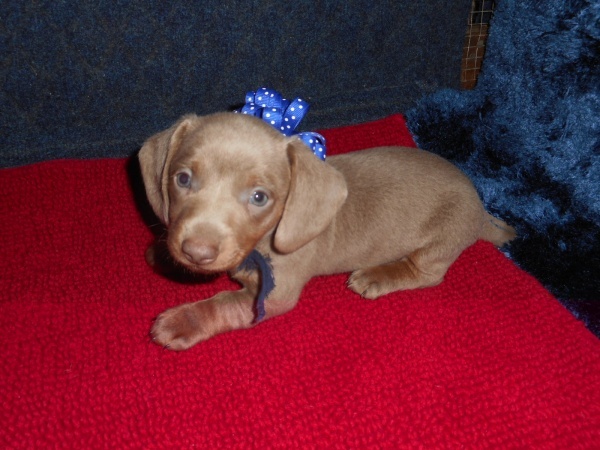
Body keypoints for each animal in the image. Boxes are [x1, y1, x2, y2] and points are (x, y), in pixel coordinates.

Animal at [138, 112, 512, 352]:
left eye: (259, 197)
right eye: (182, 178)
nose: (195, 251)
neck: (258, 246)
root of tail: (480, 207)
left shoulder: (274, 296)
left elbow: (223, 303)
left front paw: (183, 320)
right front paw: (163, 254)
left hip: (441, 241)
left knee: (427, 273)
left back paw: (378, 275)